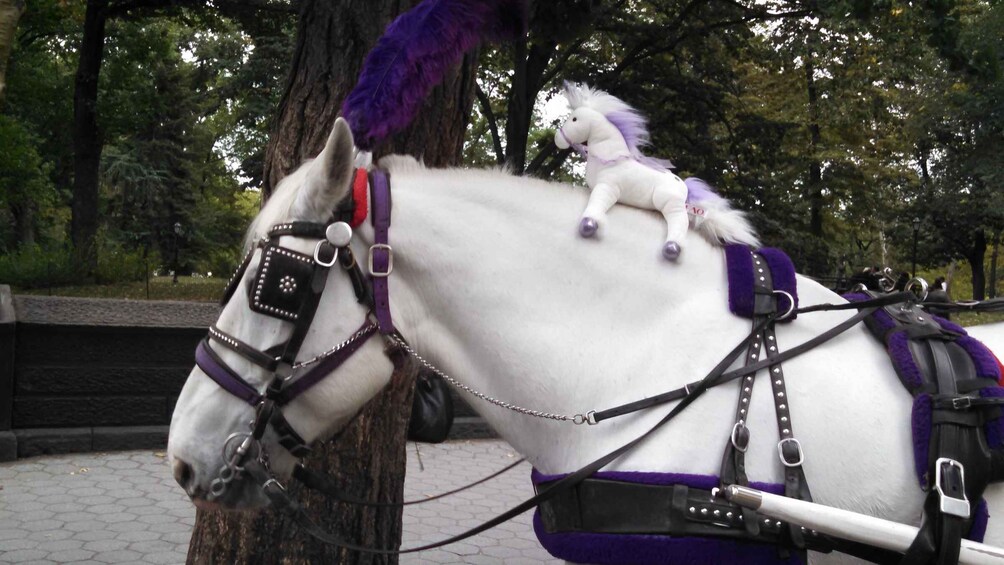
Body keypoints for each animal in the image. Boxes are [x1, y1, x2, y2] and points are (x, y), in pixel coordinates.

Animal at [554, 82, 755, 260]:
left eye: (574, 119)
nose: (558, 139)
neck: (610, 160)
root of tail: (684, 187)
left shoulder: (608, 188)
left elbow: (596, 203)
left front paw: (589, 225)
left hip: (668, 203)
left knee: (680, 221)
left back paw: (672, 248)